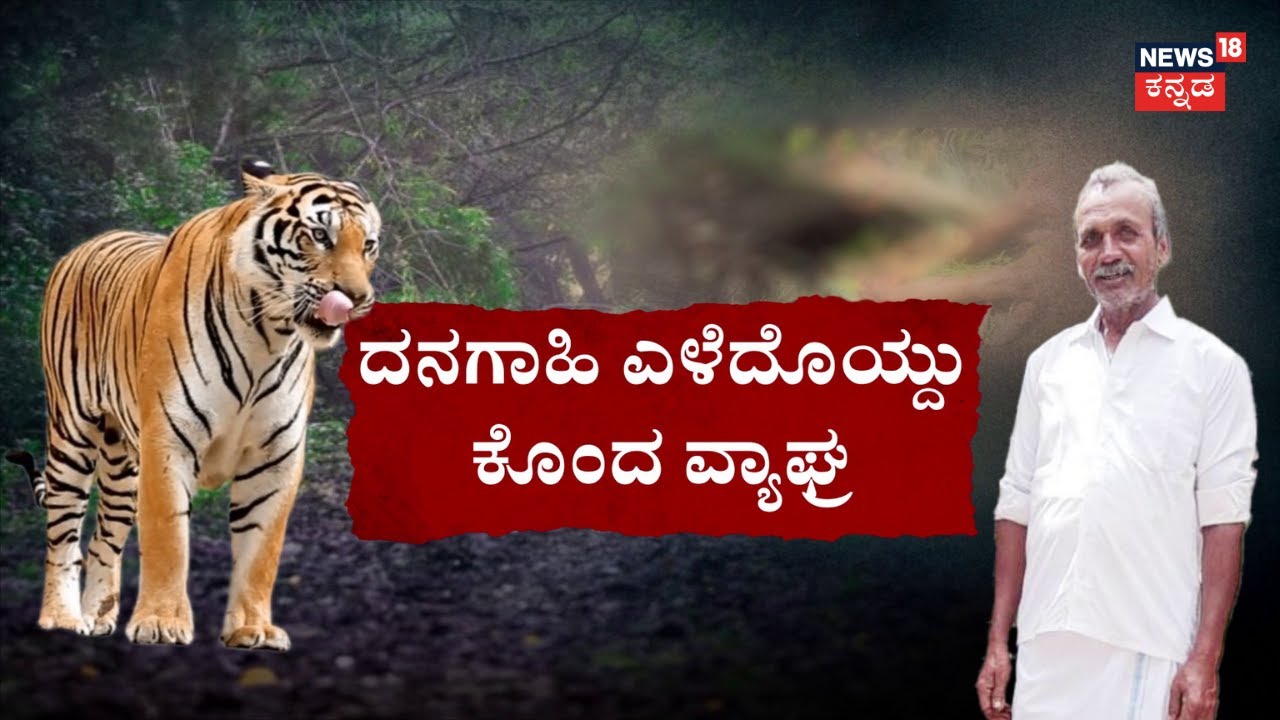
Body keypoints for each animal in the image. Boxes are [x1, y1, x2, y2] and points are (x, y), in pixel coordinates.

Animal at [6, 158, 380, 650]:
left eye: (369, 245)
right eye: (320, 235)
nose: (356, 299)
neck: (268, 336)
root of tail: (84, 244)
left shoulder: (274, 456)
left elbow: (261, 550)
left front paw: (252, 628)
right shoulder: (169, 439)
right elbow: (168, 537)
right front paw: (162, 623)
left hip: (123, 466)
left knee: (104, 539)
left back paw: (98, 617)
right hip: (72, 432)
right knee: (63, 534)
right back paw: (63, 618)